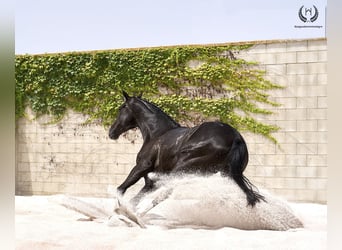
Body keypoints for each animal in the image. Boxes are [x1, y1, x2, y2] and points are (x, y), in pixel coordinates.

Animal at [109, 91, 264, 206]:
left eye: (121, 108)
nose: (111, 132)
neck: (157, 133)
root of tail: (235, 136)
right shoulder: (150, 182)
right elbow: (134, 200)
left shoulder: (142, 167)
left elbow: (121, 189)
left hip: (182, 168)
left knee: (163, 195)